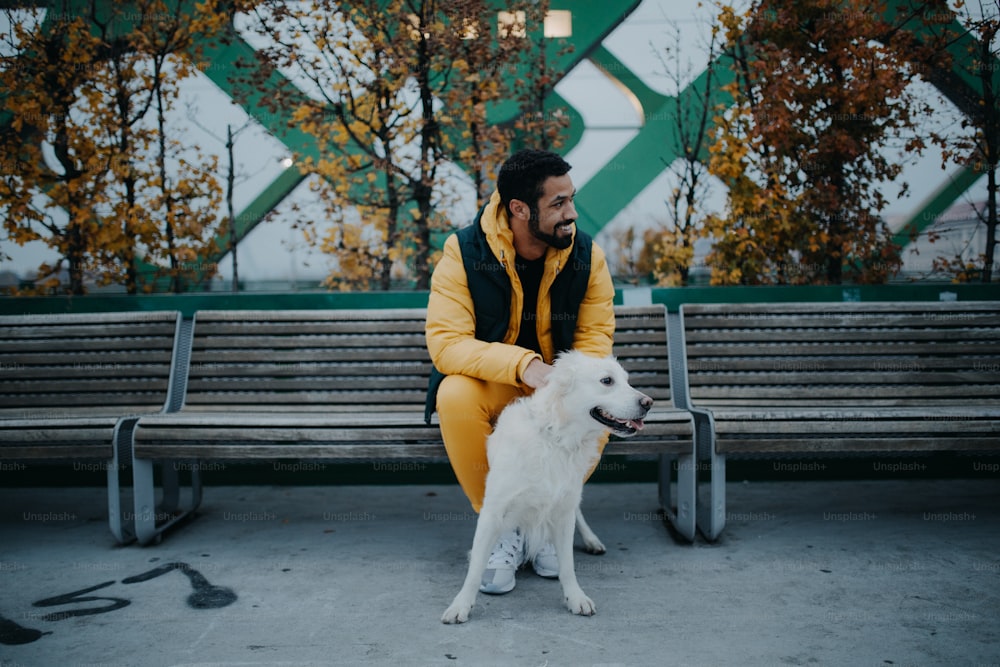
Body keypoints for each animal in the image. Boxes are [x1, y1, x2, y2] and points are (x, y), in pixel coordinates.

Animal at [442, 352, 652, 624]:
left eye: (627, 381)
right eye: (607, 381)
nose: (648, 403)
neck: (556, 439)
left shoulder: (563, 508)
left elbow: (568, 565)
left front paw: (575, 597)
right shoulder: (493, 511)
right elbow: (476, 566)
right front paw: (461, 604)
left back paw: (591, 540)